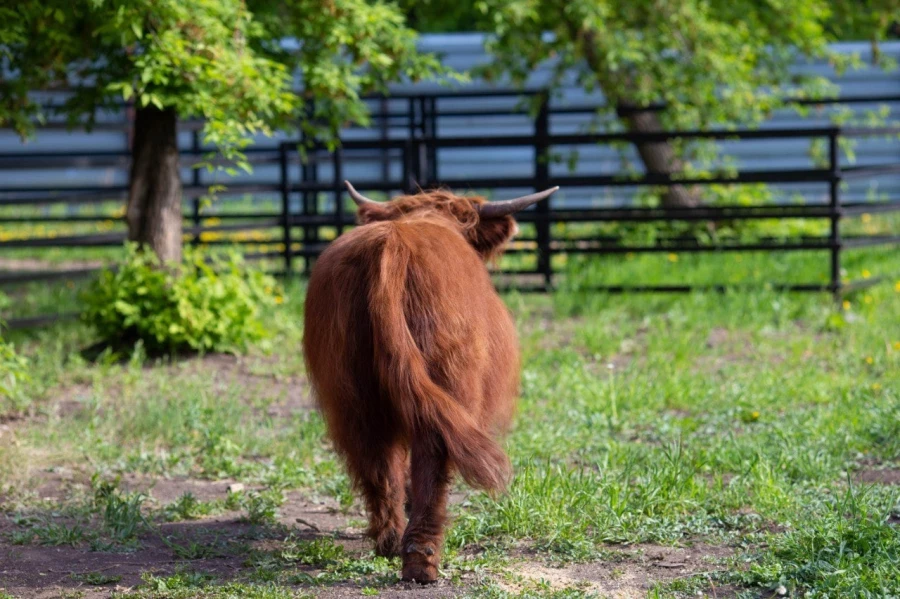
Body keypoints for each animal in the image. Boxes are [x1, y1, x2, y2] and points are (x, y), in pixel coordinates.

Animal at [302, 180, 556, 584]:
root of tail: (393, 244)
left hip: (349, 391)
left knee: (376, 459)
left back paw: (388, 540)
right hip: (450, 374)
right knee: (432, 456)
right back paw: (421, 561)